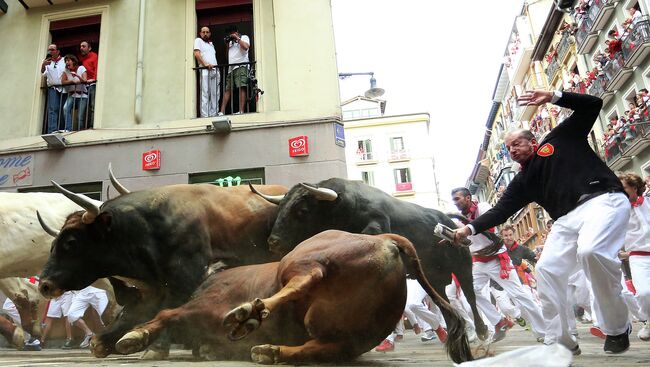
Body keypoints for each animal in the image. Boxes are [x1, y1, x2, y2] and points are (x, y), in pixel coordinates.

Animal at [38, 180, 286, 358]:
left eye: (71, 242)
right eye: (53, 244)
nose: (44, 284)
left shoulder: (189, 275)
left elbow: (173, 308)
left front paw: (156, 346)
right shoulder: (152, 287)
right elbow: (135, 312)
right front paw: (106, 340)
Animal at [112, 231, 470, 364]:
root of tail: (388, 240)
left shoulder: (199, 307)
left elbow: (165, 314)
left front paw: (132, 338)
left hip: (302, 259)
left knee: (304, 279)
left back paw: (247, 316)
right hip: (349, 334)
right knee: (319, 346)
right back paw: (268, 349)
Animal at [251, 180, 488, 340]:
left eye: (302, 210)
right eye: (281, 208)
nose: (273, 242)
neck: (344, 208)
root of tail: (449, 221)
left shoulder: (377, 222)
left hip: (463, 266)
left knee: (470, 295)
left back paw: (482, 330)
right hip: (434, 275)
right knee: (442, 300)